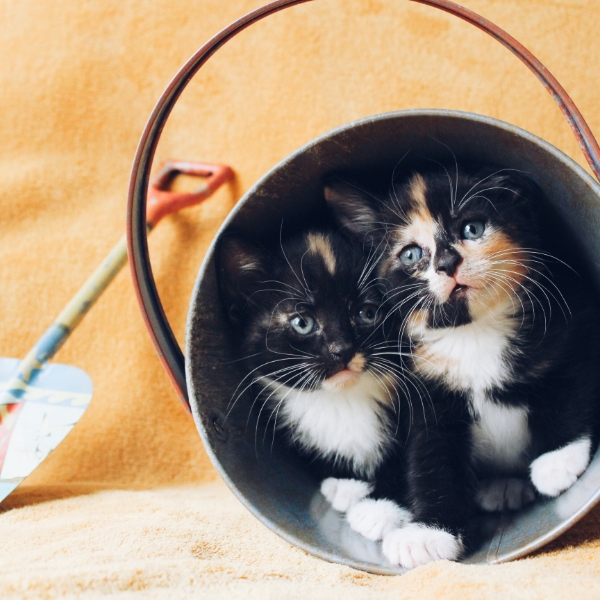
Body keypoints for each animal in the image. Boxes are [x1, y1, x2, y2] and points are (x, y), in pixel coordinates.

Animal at [216, 229, 418, 536]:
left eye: (367, 313)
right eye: (302, 323)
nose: (342, 350)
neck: (343, 400)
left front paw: (380, 510)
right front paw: (346, 486)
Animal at [326, 166, 600, 568]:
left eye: (472, 228)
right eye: (411, 254)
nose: (446, 264)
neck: (473, 333)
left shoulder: (575, 319)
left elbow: (571, 386)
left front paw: (558, 459)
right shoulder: (426, 393)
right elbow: (431, 457)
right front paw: (429, 533)